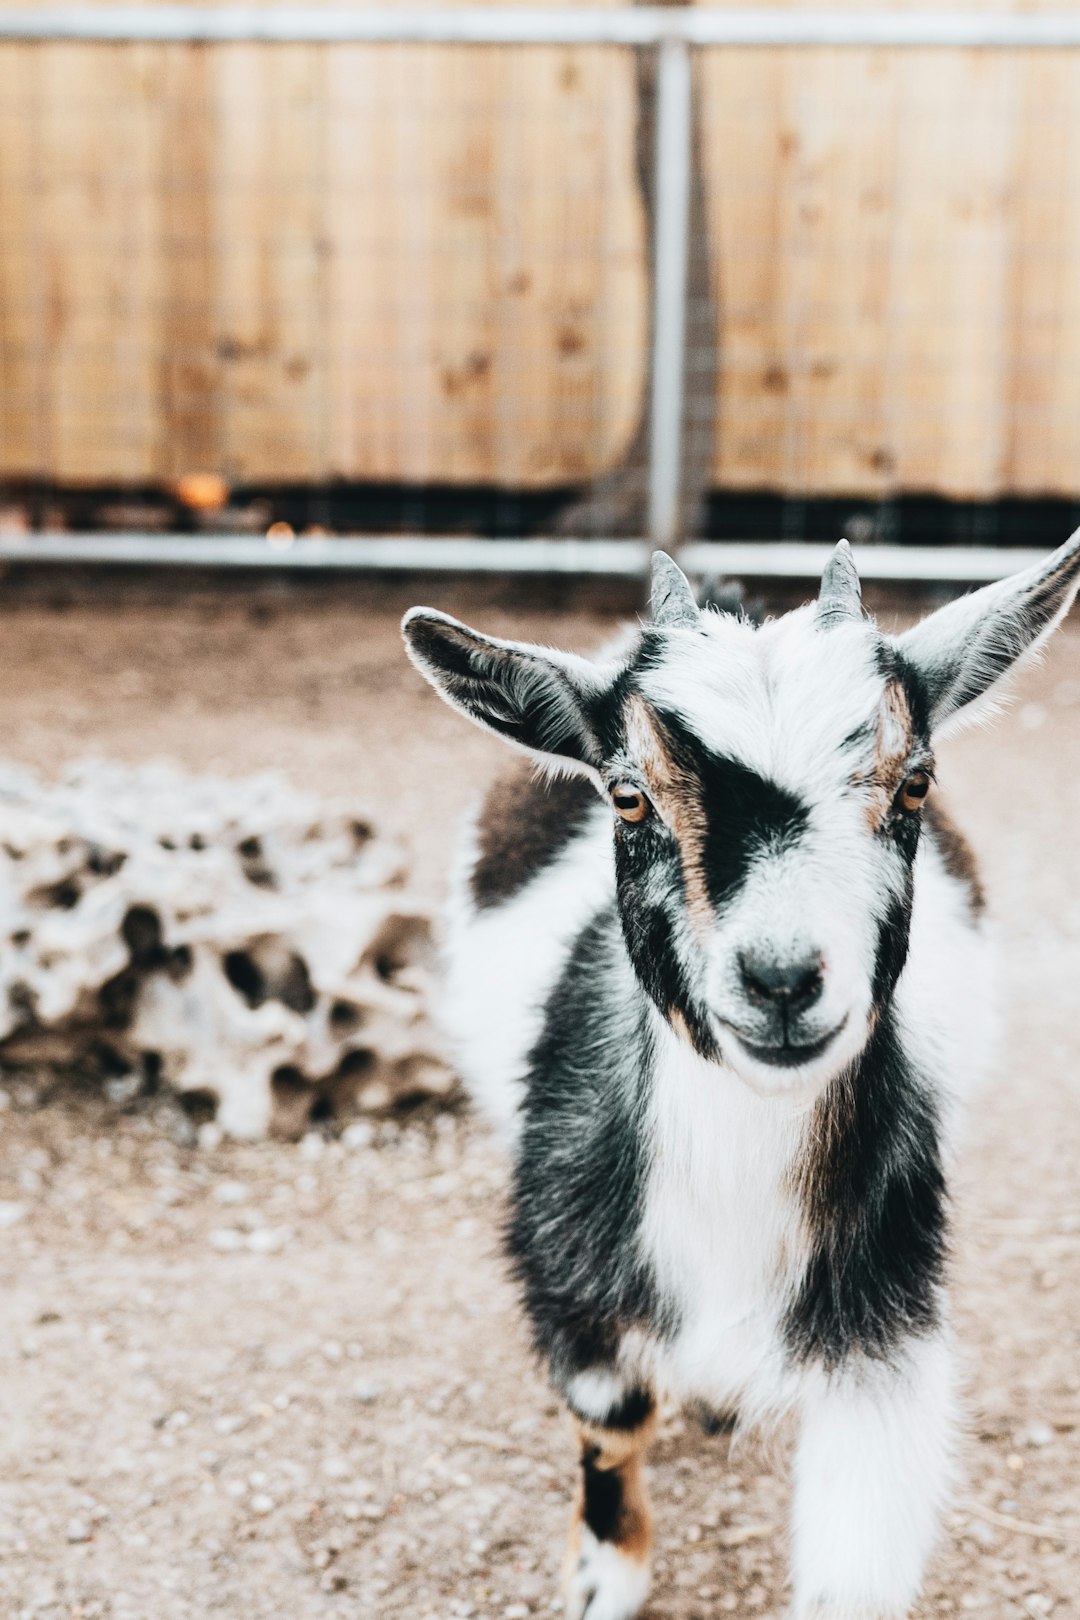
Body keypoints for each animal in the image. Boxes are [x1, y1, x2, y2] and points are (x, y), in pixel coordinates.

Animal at [399, 541, 1080, 1620]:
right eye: (627, 795)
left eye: (914, 784)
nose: (783, 979)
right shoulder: (568, 1272)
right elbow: (613, 1422)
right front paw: (603, 1576)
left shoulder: (882, 1320)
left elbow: (855, 1556)